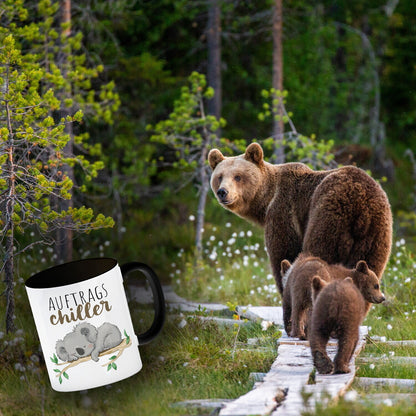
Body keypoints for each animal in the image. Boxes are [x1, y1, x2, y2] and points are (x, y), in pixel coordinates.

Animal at [208, 143, 394, 296]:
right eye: (220, 176)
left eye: (238, 176)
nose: (223, 192)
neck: (266, 200)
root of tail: (361, 206)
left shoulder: (283, 211)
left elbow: (284, 253)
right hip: (376, 232)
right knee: (370, 267)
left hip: (329, 215)